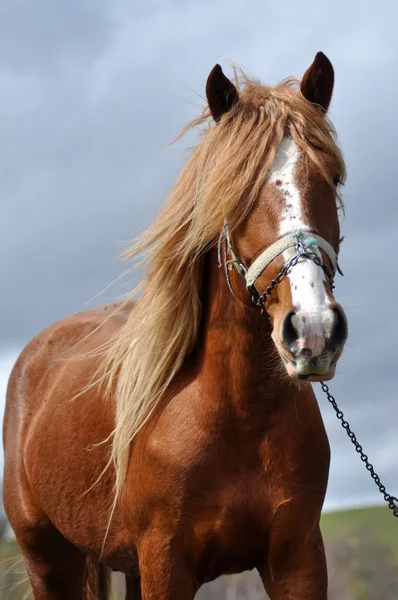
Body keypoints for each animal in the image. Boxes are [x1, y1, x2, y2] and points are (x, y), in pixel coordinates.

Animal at [3, 52, 348, 600]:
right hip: (48, 560)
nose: (314, 331)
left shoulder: (298, 560)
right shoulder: (165, 564)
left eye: (333, 179)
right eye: (234, 190)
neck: (240, 415)